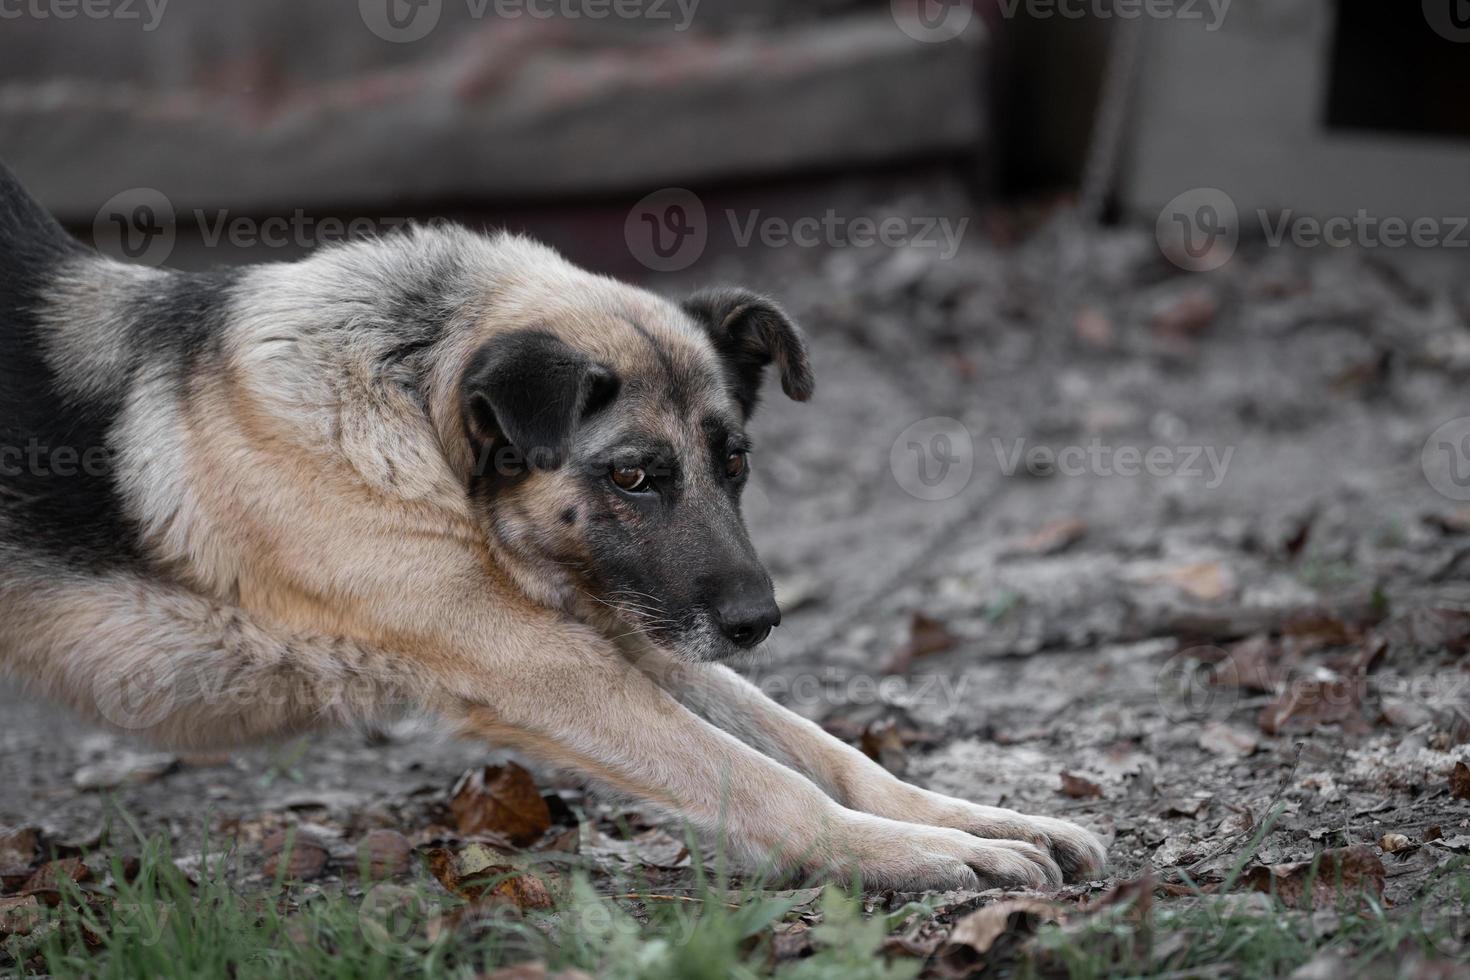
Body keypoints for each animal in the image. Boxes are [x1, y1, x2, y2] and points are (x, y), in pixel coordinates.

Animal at [0, 164, 1105, 893]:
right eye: (633, 475)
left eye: (735, 461)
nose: (759, 622)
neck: (412, 396)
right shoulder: (539, 664)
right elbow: (758, 778)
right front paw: (911, 854)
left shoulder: (628, 631)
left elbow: (824, 750)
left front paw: (972, 817)